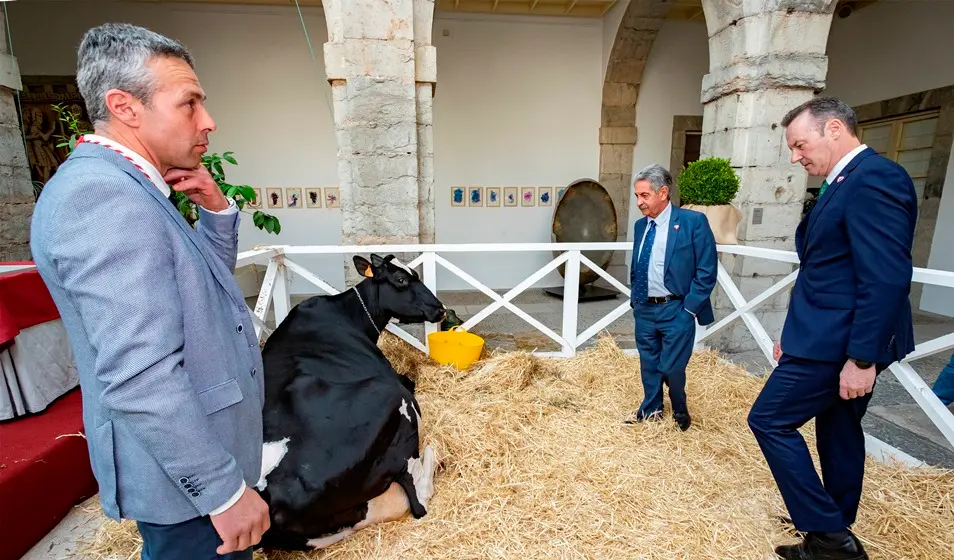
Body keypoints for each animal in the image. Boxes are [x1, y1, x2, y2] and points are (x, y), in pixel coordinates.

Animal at [253, 255, 446, 552]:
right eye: (401, 280)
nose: (441, 309)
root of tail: (269, 497)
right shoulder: (399, 382)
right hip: (394, 403)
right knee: (419, 501)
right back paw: (433, 453)